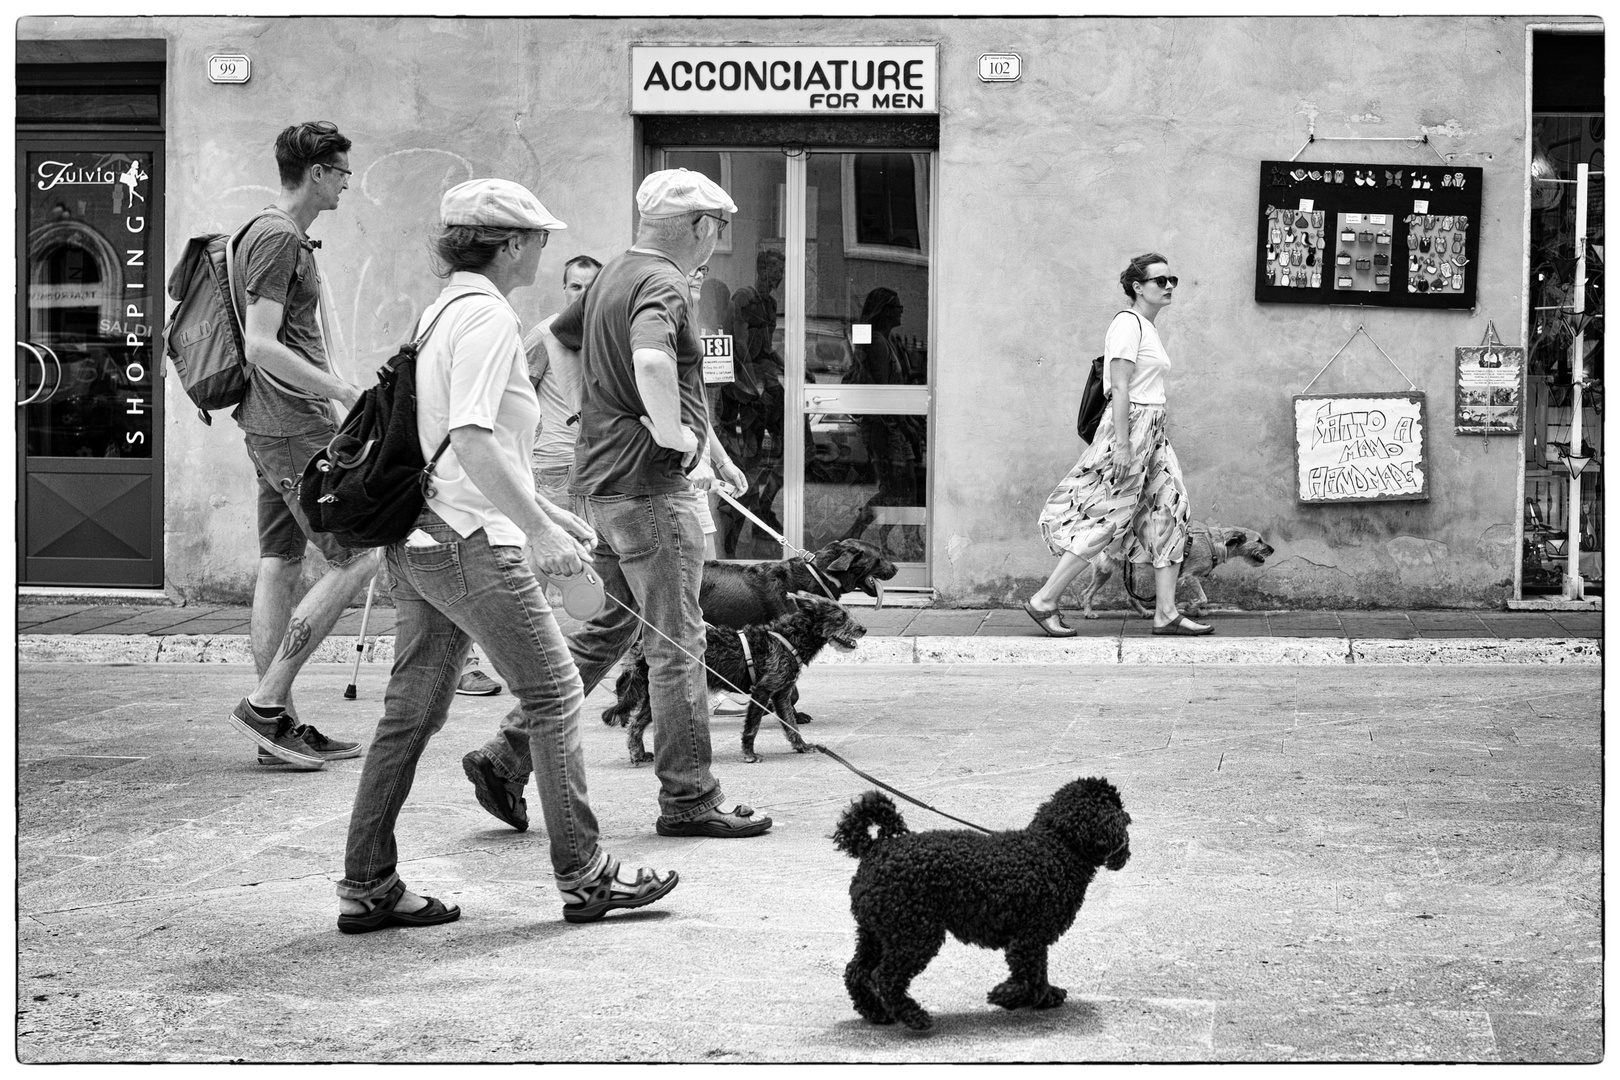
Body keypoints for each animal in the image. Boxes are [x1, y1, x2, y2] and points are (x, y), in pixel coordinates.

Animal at [602, 595, 868, 764]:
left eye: (848, 614)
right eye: (840, 617)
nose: (863, 629)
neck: (790, 638)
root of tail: (641, 648)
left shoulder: (781, 694)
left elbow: (791, 724)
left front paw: (801, 746)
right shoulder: (762, 691)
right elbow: (752, 727)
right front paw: (749, 754)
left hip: (653, 695)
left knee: (636, 726)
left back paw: (638, 754)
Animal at [835, 777, 1127, 1029]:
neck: (1057, 846)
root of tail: (874, 848)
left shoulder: (1033, 939)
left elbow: (1039, 976)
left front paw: (1046, 996)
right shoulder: (1028, 938)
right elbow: (1031, 979)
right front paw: (1006, 996)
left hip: (877, 933)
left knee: (857, 972)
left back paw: (876, 1012)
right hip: (914, 934)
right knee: (884, 977)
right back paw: (913, 1016)